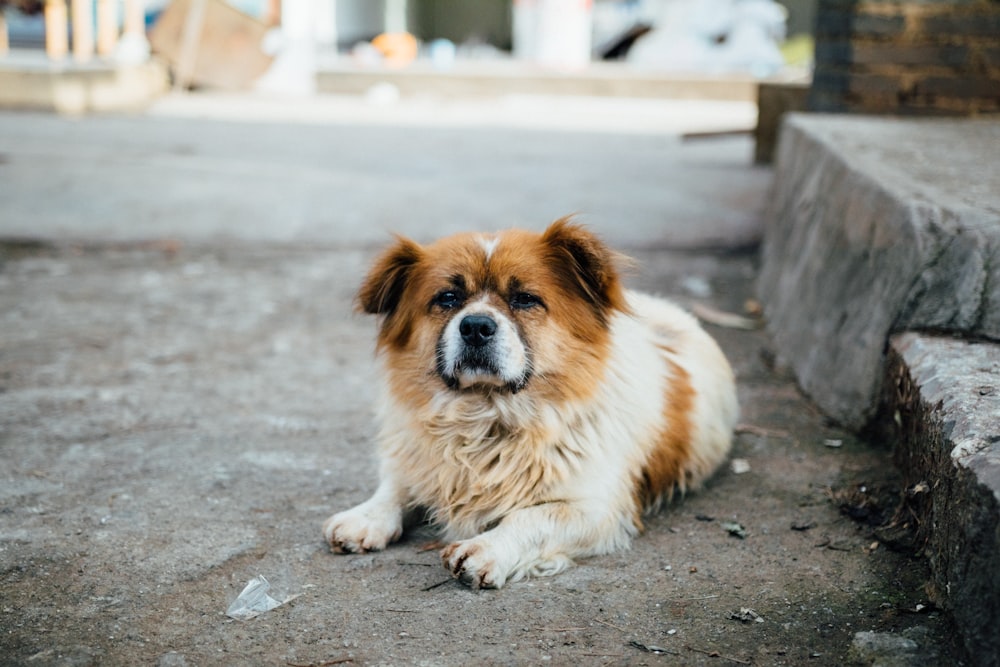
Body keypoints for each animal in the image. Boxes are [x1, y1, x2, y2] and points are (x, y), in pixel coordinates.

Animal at [324, 219, 740, 588]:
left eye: (525, 299)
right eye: (448, 298)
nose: (475, 326)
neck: (486, 416)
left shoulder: (597, 508)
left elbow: (530, 519)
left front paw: (487, 548)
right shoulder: (416, 457)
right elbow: (397, 484)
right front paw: (365, 517)